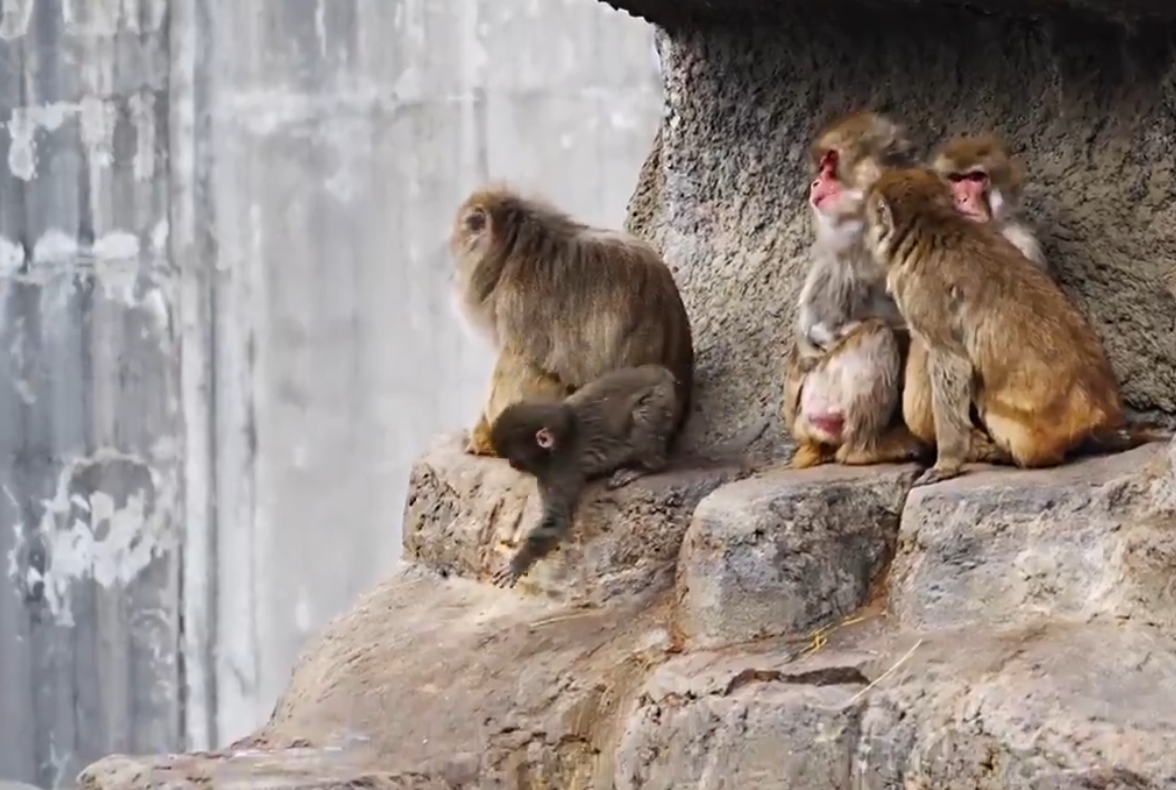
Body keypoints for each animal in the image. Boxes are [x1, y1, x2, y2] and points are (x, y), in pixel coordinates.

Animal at [487, 364, 682, 588]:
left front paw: (519, 562)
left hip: (660, 399)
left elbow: (556, 524)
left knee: (643, 420)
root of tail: (662, 372)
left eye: (515, 457)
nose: (512, 464)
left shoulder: (559, 471)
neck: (556, 443)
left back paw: (645, 467)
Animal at [784, 110, 926, 468]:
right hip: (820, 400)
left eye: (830, 162)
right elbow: (817, 331)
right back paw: (866, 448)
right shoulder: (842, 251)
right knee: (876, 335)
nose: (815, 183)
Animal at [863, 167, 1170, 486]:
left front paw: (947, 462)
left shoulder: (923, 293)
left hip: (1029, 428)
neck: (931, 222)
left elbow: (949, 361)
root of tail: (1098, 419)